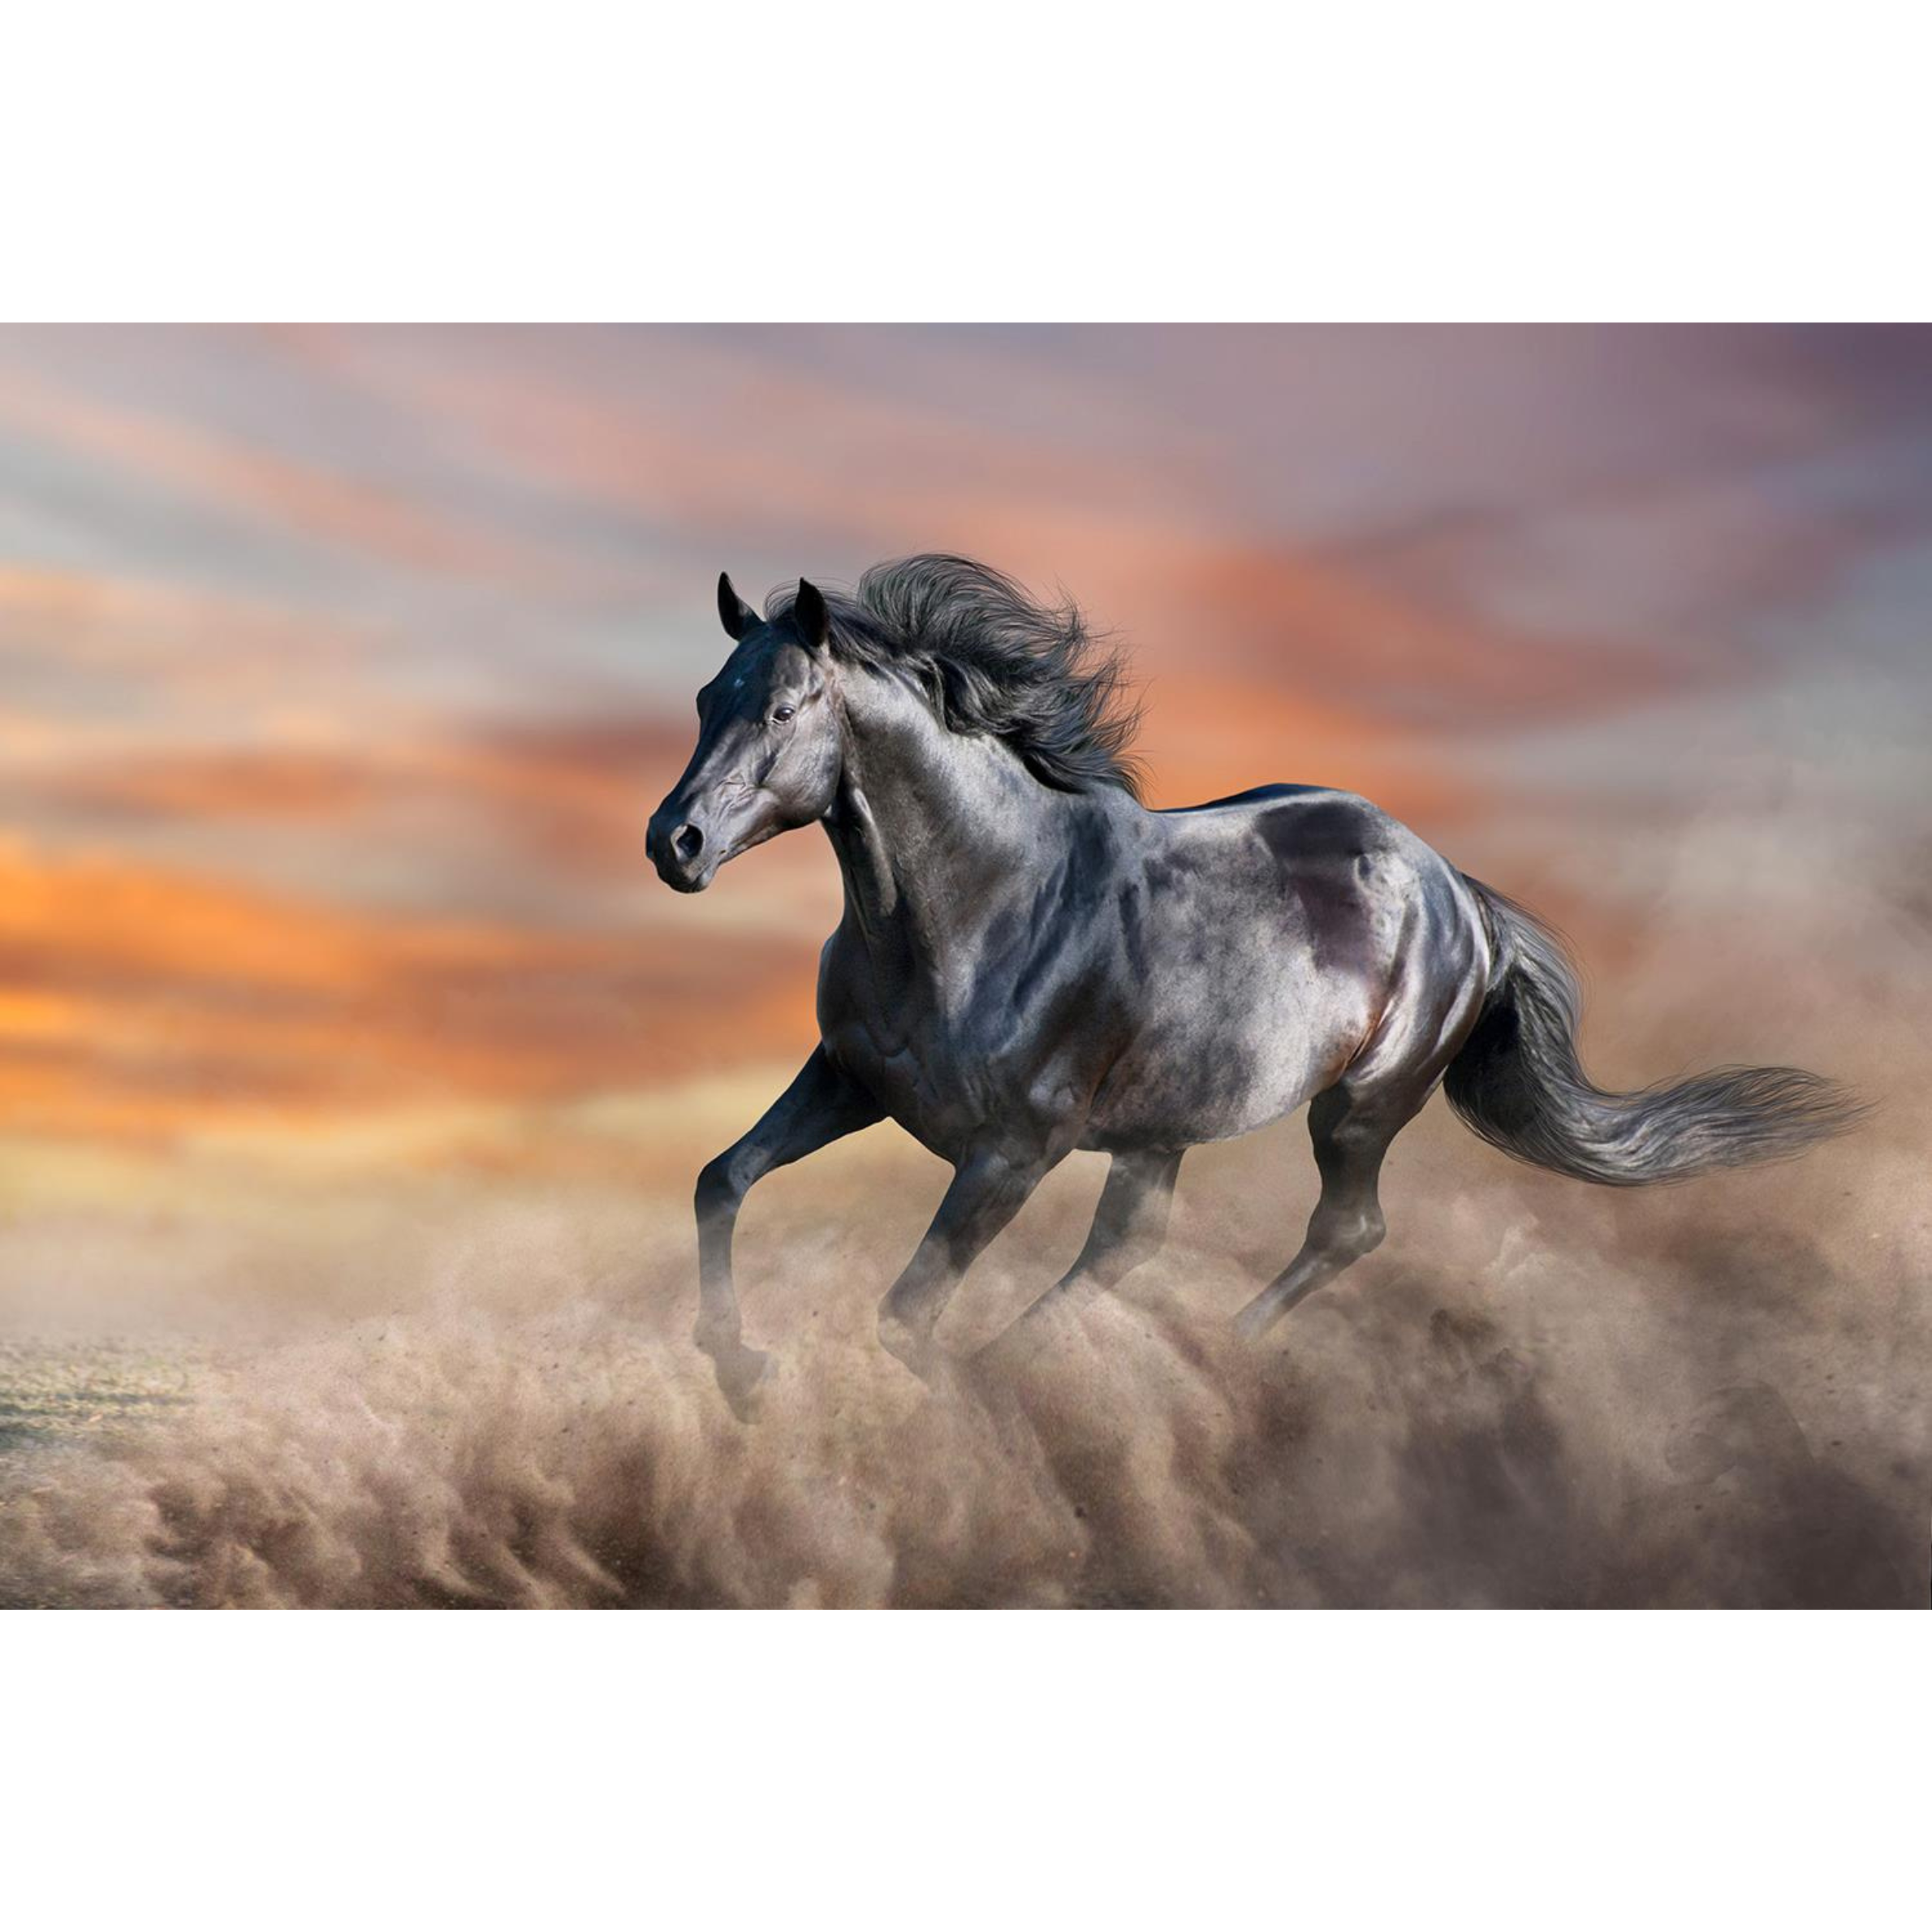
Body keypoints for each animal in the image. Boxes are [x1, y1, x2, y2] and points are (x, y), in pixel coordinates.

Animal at [647, 554, 1861, 1413]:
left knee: (1344, 1232)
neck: (980, 905)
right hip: (1164, 1127)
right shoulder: (852, 1080)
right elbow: (720, 1180)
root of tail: (1459, 891)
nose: (676, 842)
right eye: (707, 696)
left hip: (1360, 1106)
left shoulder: (1012, 1152)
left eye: (784, 708)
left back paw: (1204, 1362)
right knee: (1129, 1247)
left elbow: (903, 1316)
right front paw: (740, 1372)